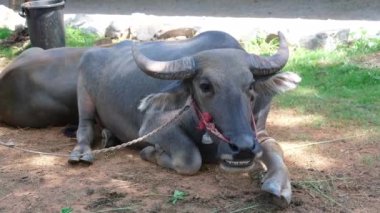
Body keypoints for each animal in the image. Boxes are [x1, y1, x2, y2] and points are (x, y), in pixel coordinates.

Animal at [68, 30, 300, 206]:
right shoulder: (153, 126)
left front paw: (278, 187)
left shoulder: (258, 132)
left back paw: (109, 136)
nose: (242, 148)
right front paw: (151, 152)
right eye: (205, 86)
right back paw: (81, 153)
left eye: (251, 85)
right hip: (83, 96)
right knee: (84, 127)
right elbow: (190, 158)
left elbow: (275, 150)